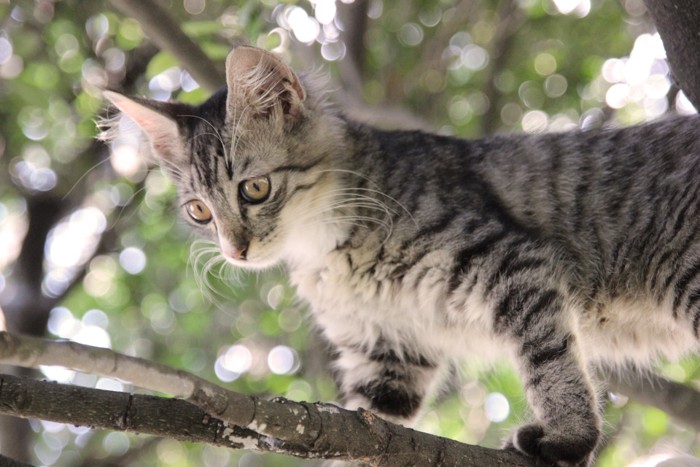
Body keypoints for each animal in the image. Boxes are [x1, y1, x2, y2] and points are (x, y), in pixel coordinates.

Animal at [101, 44, 700, 467]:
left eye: (254, 189)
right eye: (199, 211)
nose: (235, 249)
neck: (331, 255)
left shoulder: (510, 263)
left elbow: (550, 361)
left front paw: (570, 438)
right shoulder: (387, 355)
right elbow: (358, 435)